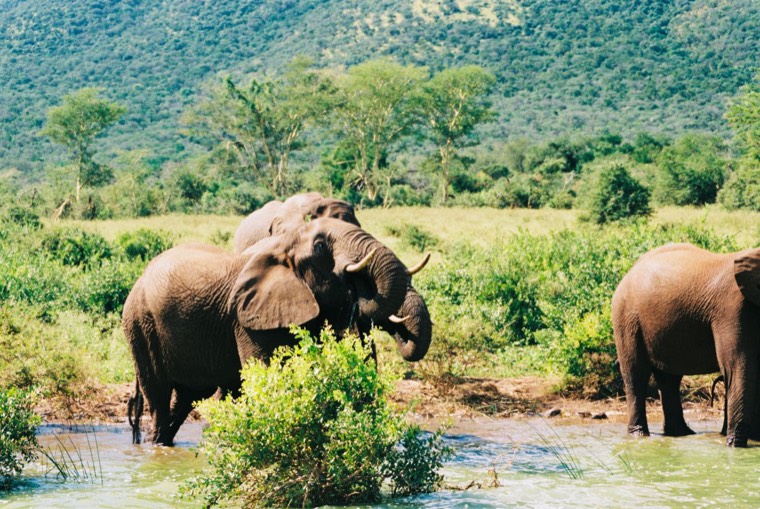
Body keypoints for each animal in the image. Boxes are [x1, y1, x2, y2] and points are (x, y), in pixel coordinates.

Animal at [123, 217, 412, 446]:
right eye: (320, 246)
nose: (357, 291)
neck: (284, 245)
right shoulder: (248, 319)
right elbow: (266, 374)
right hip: (141, 325)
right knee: (159, 394)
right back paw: (156, 446)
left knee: (187, 397)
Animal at [612, 242, 760, 447]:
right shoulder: (731, 309)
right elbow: (738, 366)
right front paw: (735, 446)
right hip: (626, 317)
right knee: (636, 374)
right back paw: (639, 435)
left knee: (669, 379)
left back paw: (680, 434)